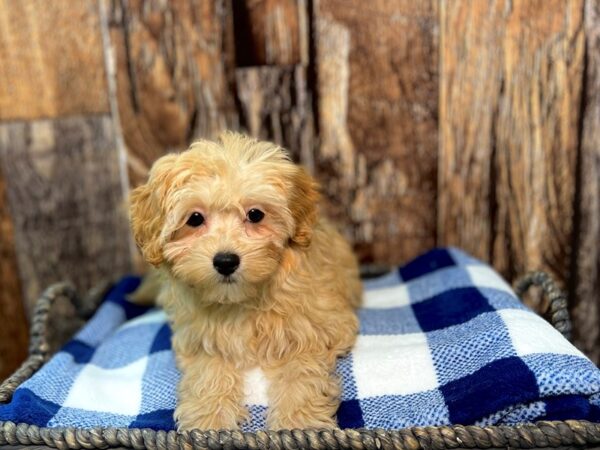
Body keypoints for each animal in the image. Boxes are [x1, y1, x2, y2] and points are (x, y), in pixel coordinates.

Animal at [130, 132, 360, 430]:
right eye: (195, 218)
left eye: (255, 214)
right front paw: (210, 418)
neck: (240, 301)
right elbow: (208, 370)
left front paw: (299, 422)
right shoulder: (198, 337)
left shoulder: (320, 326)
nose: (226, 261)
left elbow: (301, 368)